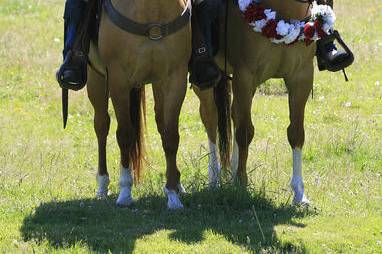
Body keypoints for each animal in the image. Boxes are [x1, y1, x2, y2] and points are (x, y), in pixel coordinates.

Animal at [86, 0, 191, 209]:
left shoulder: (175, 79)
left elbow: (170, 136)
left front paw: (172, 194)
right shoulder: (118, 81)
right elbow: (125, 134)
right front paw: (125, 192)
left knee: (161, 123)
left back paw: (178, 183)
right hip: (96, 79)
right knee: (101, 125)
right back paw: (102, 184)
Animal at [195, 0, 330, 204]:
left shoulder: (301, 77)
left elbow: (296, 132)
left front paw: (299, 193)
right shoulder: (245, 77)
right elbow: (245, 132)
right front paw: (241, 184)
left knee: (233, 114)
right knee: (211, 118)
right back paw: (214, 180)